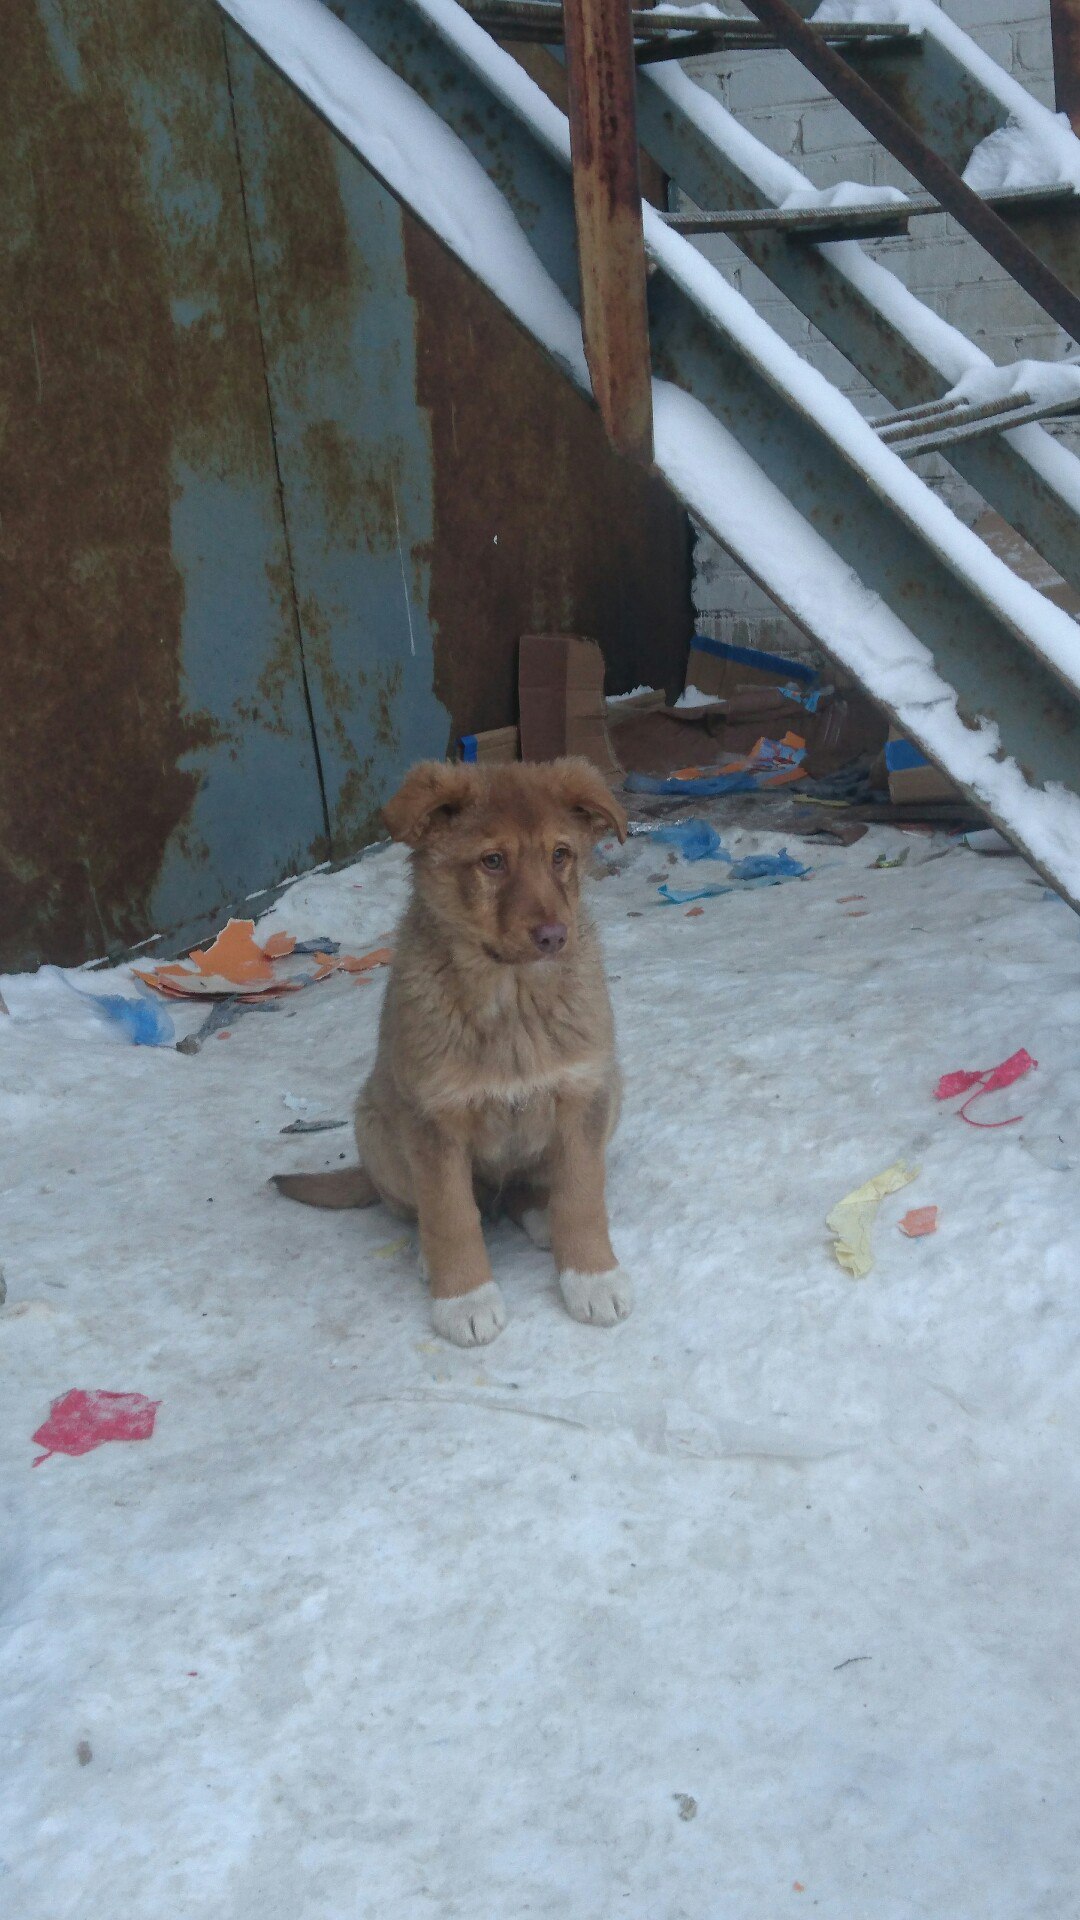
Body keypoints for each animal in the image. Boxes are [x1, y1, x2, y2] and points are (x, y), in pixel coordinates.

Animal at [270, 756, 630, 1344]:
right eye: (492, 861)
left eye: (561, 854)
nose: (556, 936)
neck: (512, 997)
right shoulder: (432, 1118)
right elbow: (450, 1214)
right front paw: (464, 1298)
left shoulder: (584, 1092)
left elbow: (581, 1195)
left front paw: (592, 1277)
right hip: (377, 1128)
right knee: (432, 1207)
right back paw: (428, 1257)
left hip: (613, 1094)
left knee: (527, 1189)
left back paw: (541, 1216)